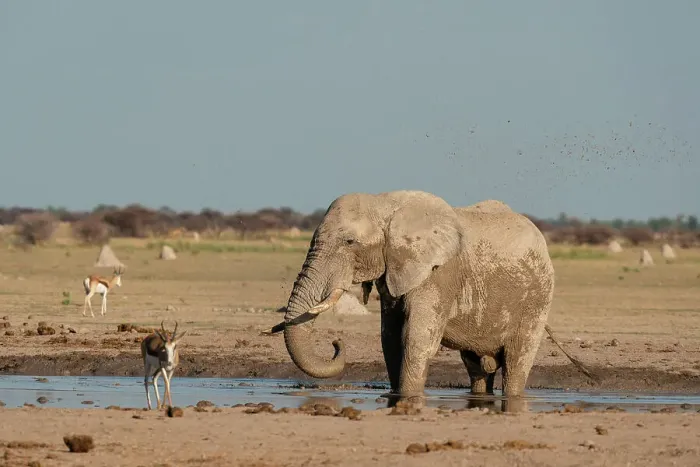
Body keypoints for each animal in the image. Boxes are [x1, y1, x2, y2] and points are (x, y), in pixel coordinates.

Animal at [263, 190, 591, 407]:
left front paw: (408, 397)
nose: (335, 343)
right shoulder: (394, 269)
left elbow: (416, 337)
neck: (385, 203)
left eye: (349, 242)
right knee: (476, 367)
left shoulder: (439, 274)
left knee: (516, 361)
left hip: (537, 298)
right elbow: (391, 338)